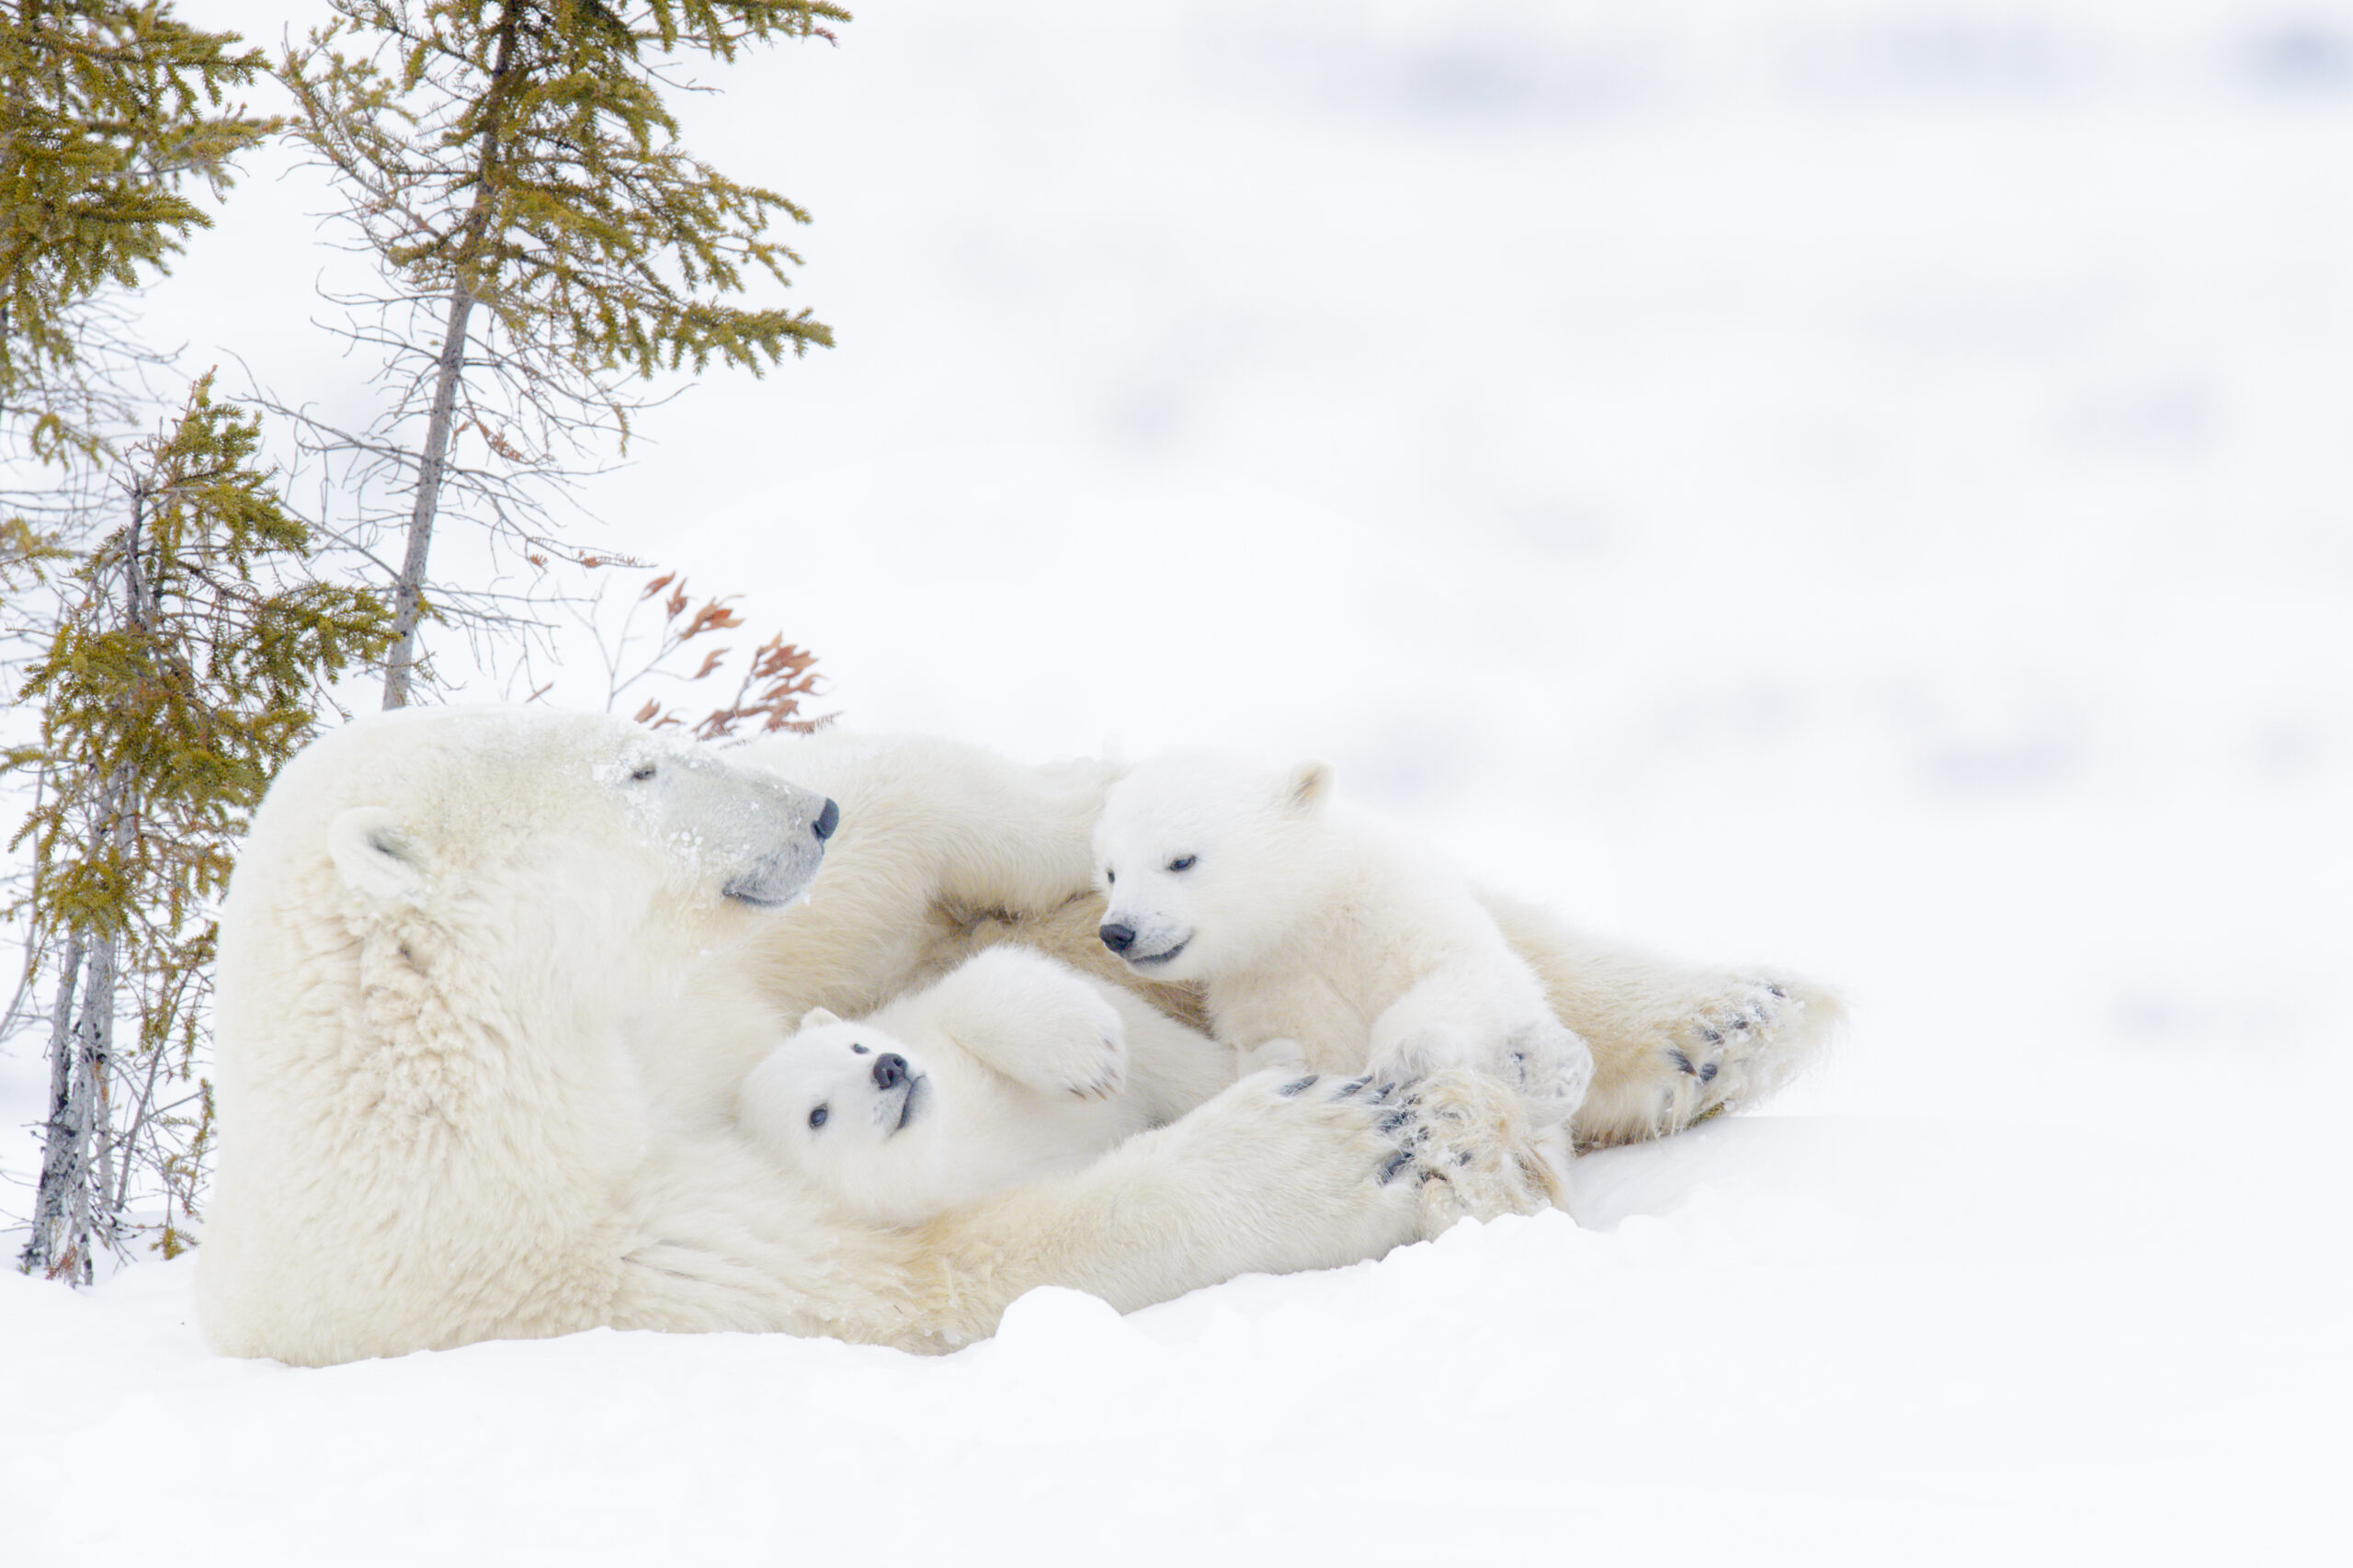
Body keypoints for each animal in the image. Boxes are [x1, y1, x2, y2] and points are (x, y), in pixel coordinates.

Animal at [192, 706, 1825, 1356]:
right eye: (638, 766)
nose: (800, 810)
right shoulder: (568, 1248)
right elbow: (921, 1265)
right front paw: (1340, 1143)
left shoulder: (700, 993)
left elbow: (893, 866)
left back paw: (1724, 1022)